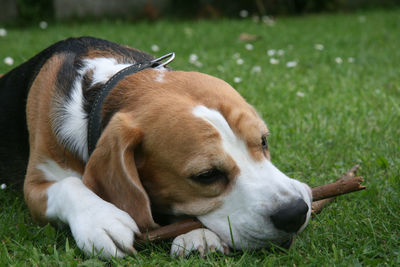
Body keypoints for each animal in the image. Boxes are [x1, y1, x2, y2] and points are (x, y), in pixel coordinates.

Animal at [0, 36, 312, 258]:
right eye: (207, 176)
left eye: (263, 141)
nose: (295, 212)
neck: (101, 90)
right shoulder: (35, 185)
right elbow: (68, 185)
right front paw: (101, 220)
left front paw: (198, 234)